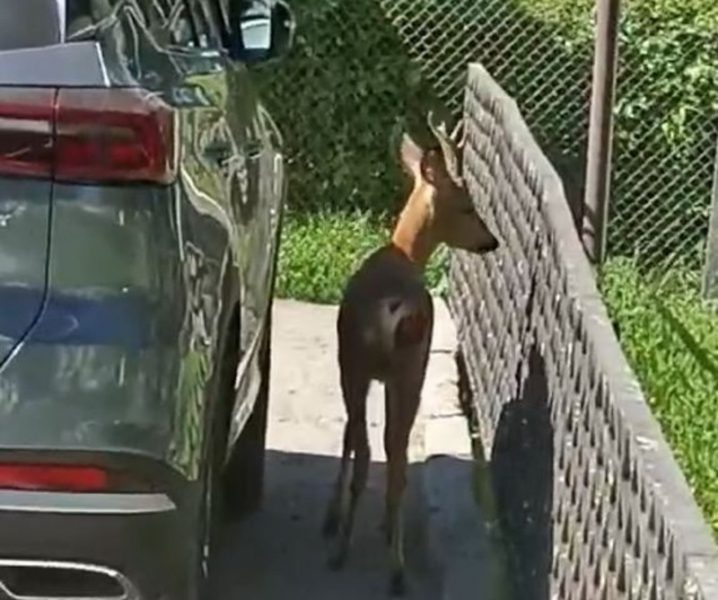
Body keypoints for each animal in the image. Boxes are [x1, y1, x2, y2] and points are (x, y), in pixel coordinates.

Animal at [324, 110, 500, 592]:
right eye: (467, 205)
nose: (491, 241)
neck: (404, 251)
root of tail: (394, 308)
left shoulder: (358, 366)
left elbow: (351, 436)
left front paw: (334, 519)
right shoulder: (381, 371)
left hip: (381, 365)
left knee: (379, 449)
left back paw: (362, 552)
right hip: (402, 368)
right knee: (390, 454)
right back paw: (387, 562)